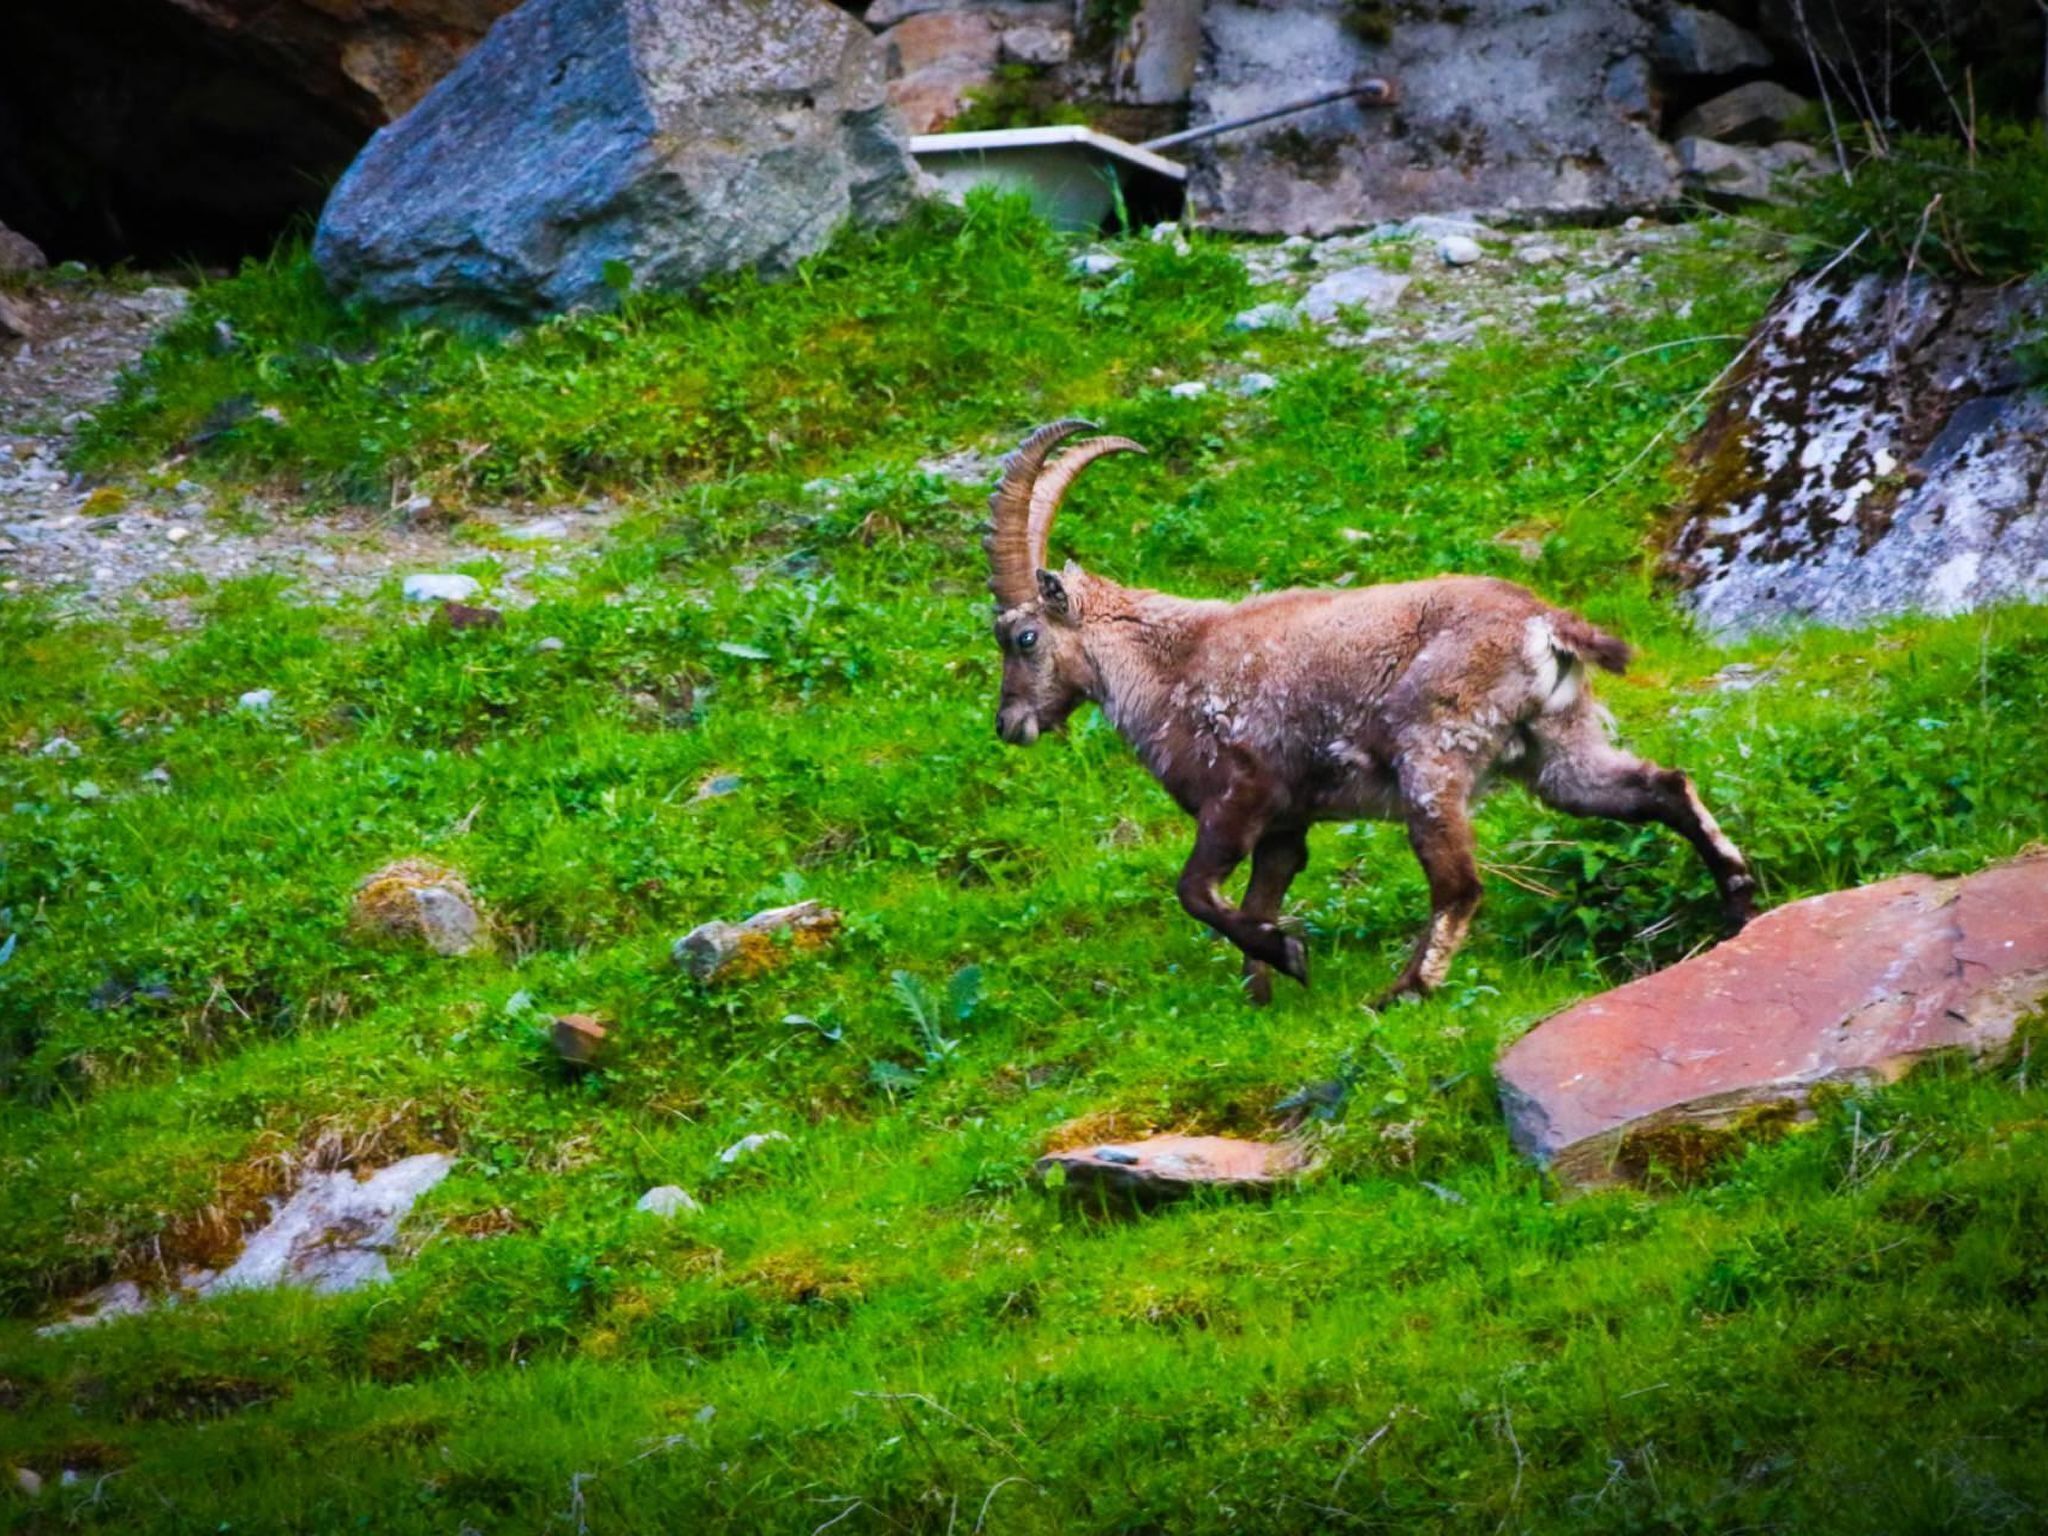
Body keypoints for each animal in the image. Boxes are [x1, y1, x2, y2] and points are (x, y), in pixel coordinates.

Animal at [984, 420, 1757, 1003]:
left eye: (1021, 637)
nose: (1007, 725)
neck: (1168, 664)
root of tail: (1543, 623)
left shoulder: (1240, 796)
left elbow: (1197, 893)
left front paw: (1289, 954)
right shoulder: (1287, 825)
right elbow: (1255, 902)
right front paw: (1262, 998)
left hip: (1432, 758)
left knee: (1459, 884)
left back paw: (1404, 992)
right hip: (1558, 750)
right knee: (1663, 786)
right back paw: (1738, 899)